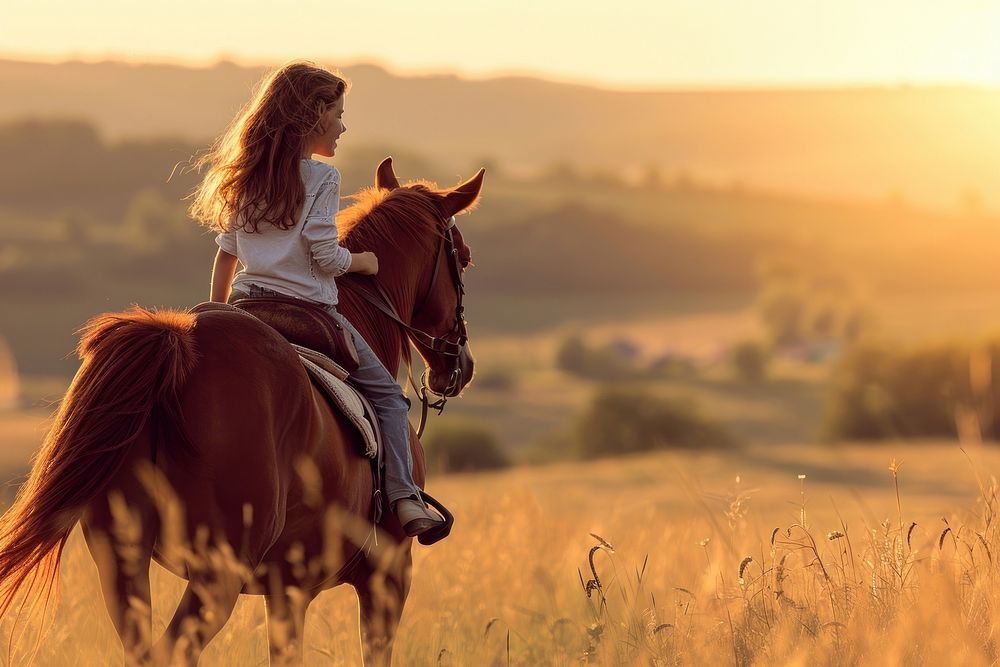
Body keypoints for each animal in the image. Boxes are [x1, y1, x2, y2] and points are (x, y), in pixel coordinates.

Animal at [0, 159, 484, 664]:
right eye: (465, 258)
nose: (461, 366)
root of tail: (180, 341)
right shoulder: (387, 575)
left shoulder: (289, 588)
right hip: (218, 574)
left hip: (122, 562)